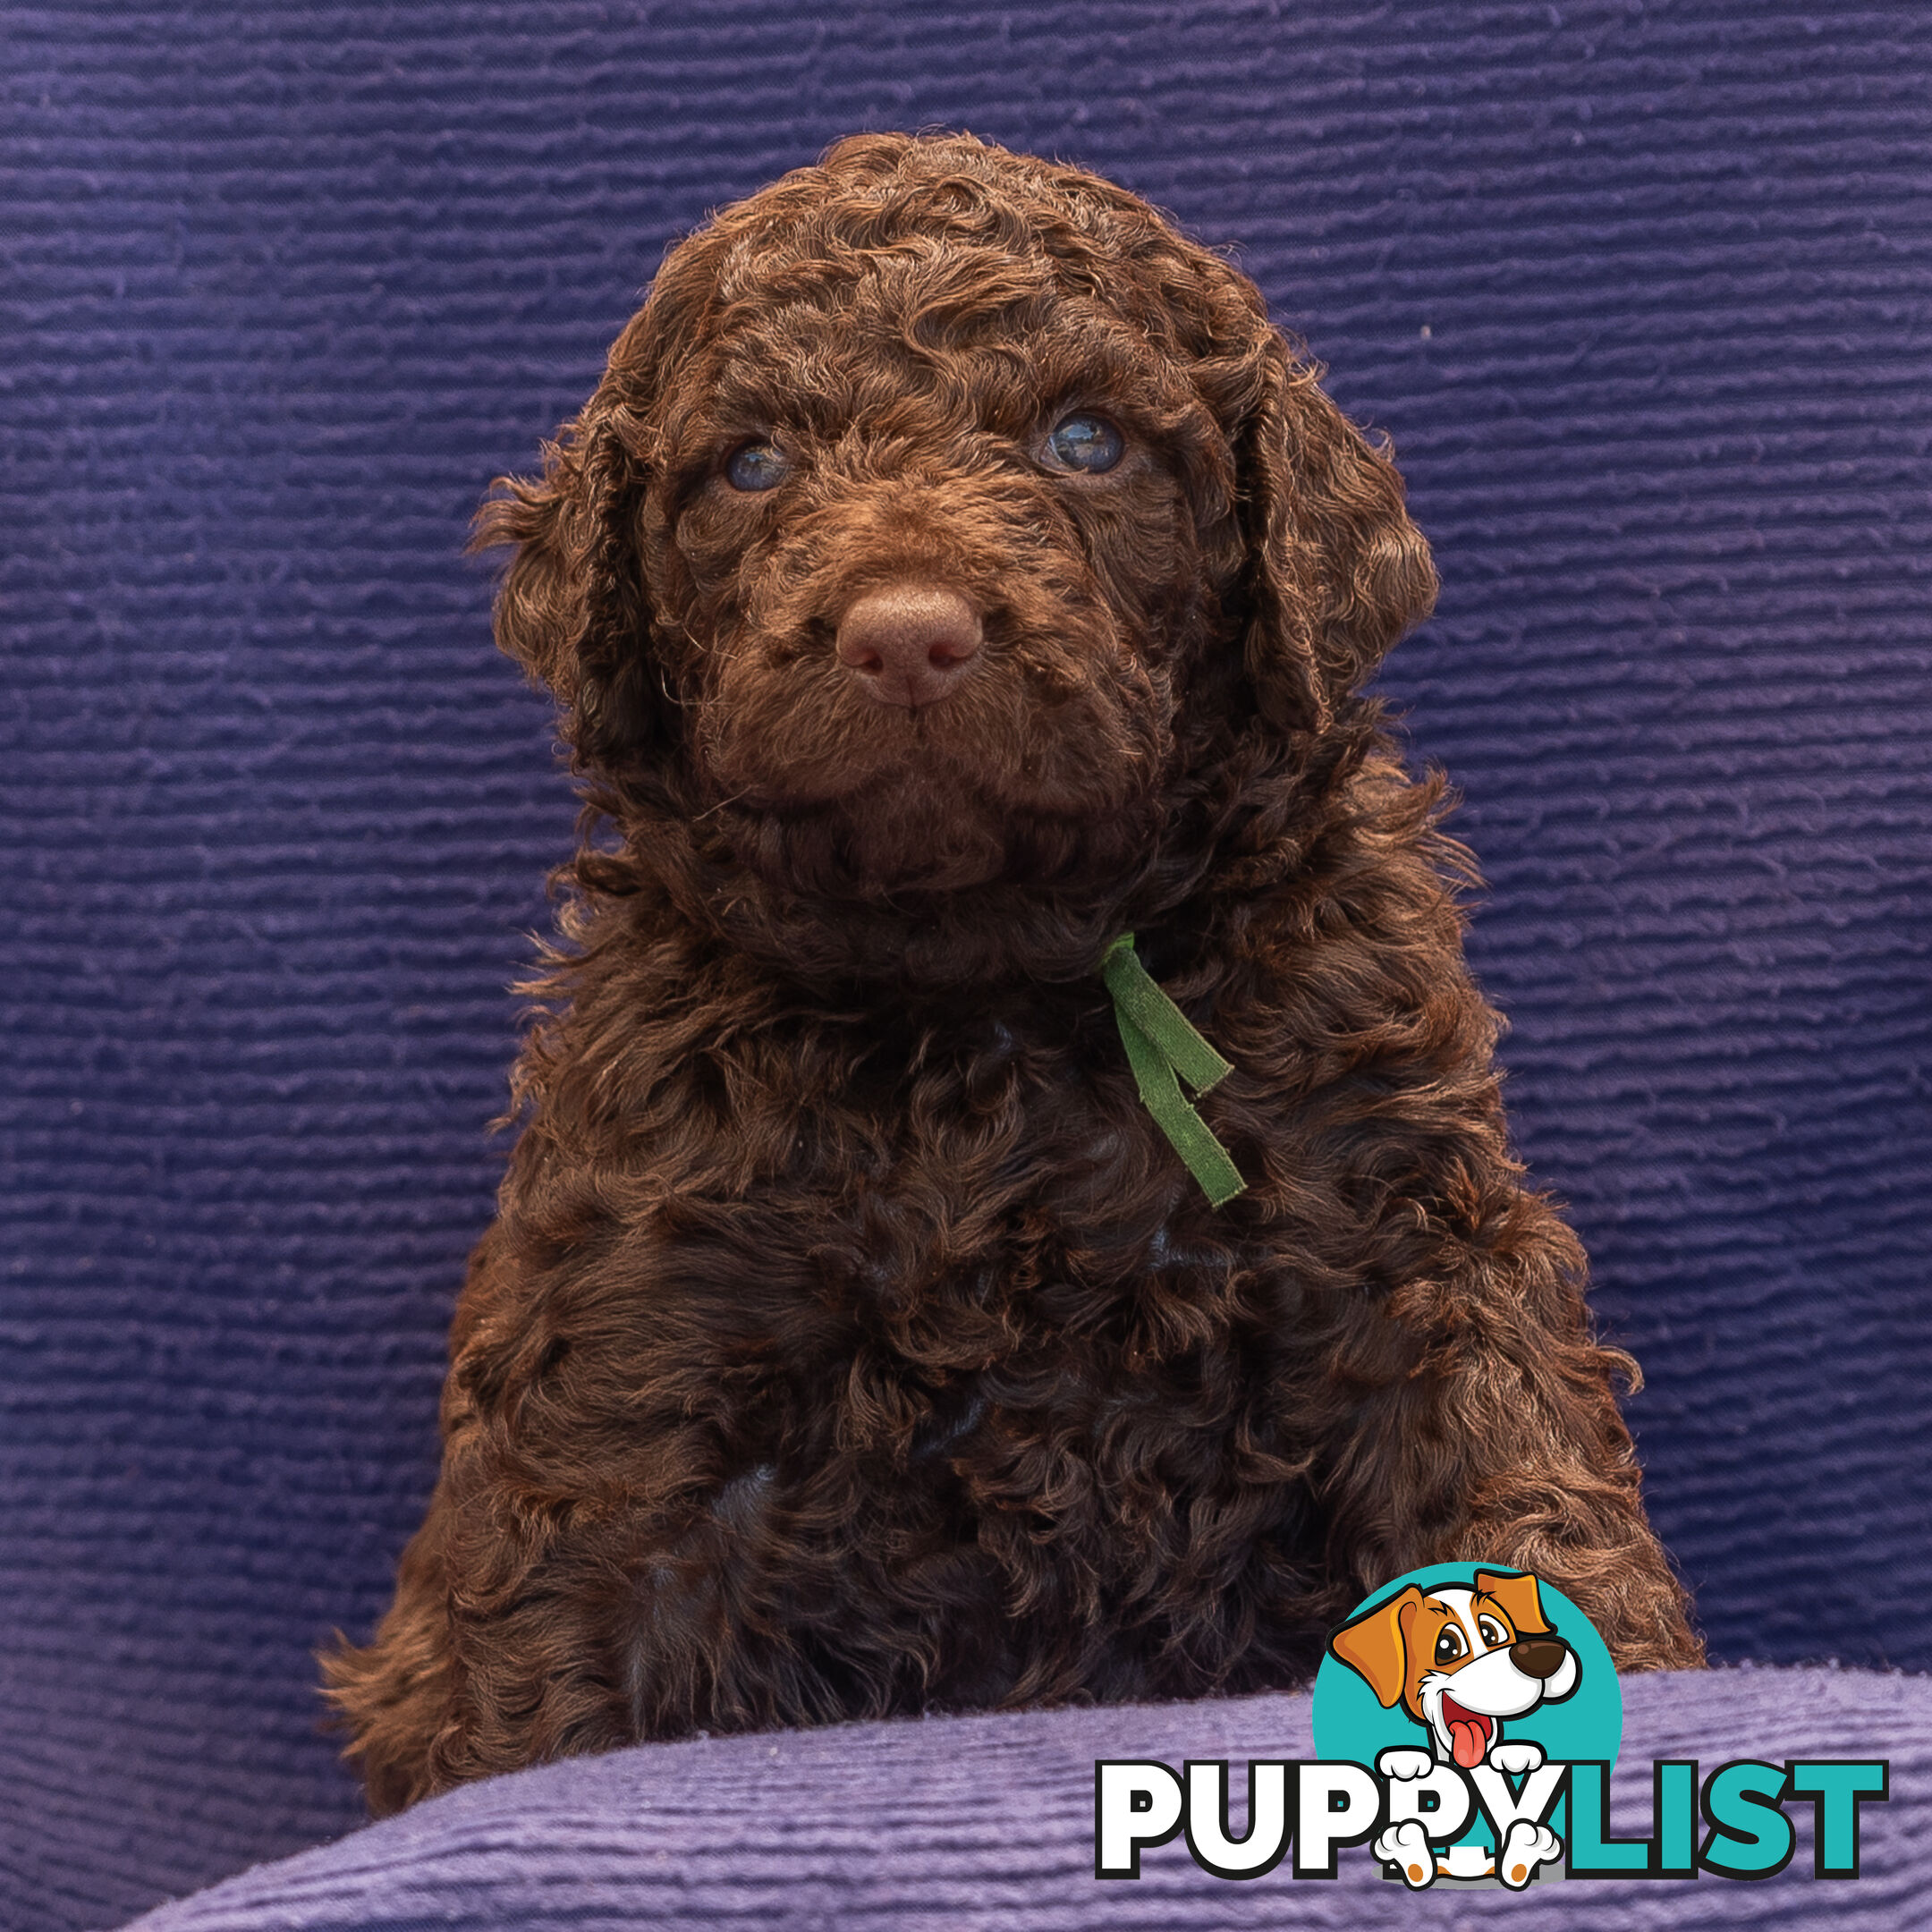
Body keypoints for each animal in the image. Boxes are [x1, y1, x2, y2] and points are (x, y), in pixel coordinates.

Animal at [324, 131, 1699, 1808]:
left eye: (1084, 438)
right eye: (752, 466)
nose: (908, 635)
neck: (985, 1007)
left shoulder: (1405, 1237)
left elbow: (1515, 1469)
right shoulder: (634, 1328)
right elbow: (550, 1641)